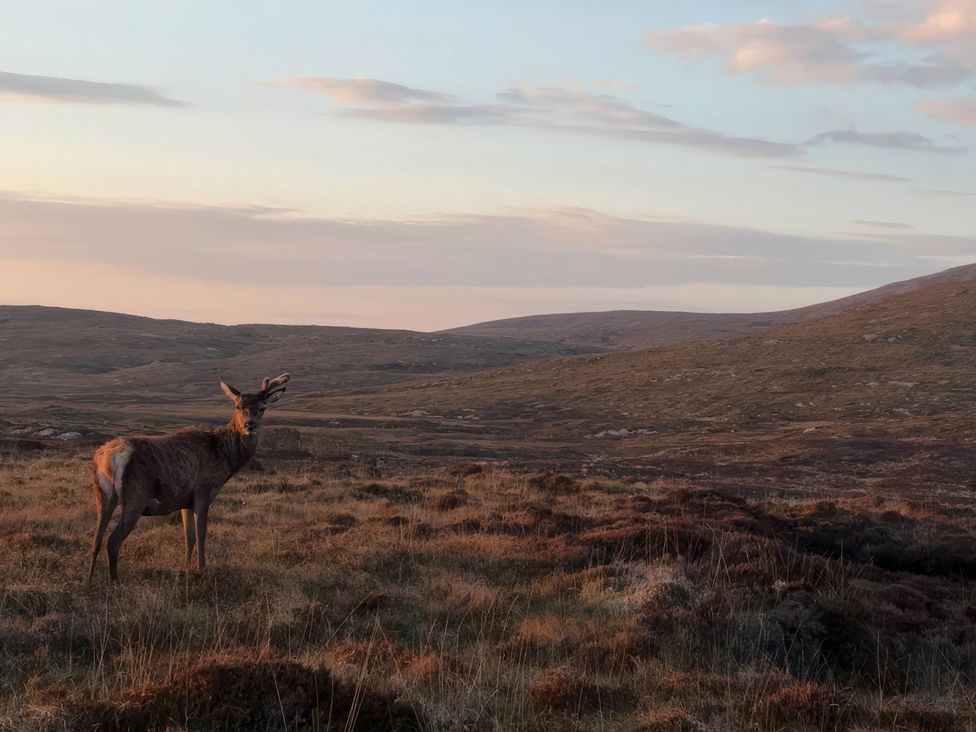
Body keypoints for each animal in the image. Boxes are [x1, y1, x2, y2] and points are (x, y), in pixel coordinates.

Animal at [87, 373, 290, 582]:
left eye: (262, 408)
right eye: (238, 406)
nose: (250, 424)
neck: (226, 457)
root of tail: (107, 458)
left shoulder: (184, 500)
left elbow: (189, 535)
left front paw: (186, 566)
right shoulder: (203, 490)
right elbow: (201, 534)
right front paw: (202, 569)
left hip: (103, 495)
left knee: (96, 539)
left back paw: (89, 580)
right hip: (136, 496)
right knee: (112, 541)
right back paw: (114, 582)